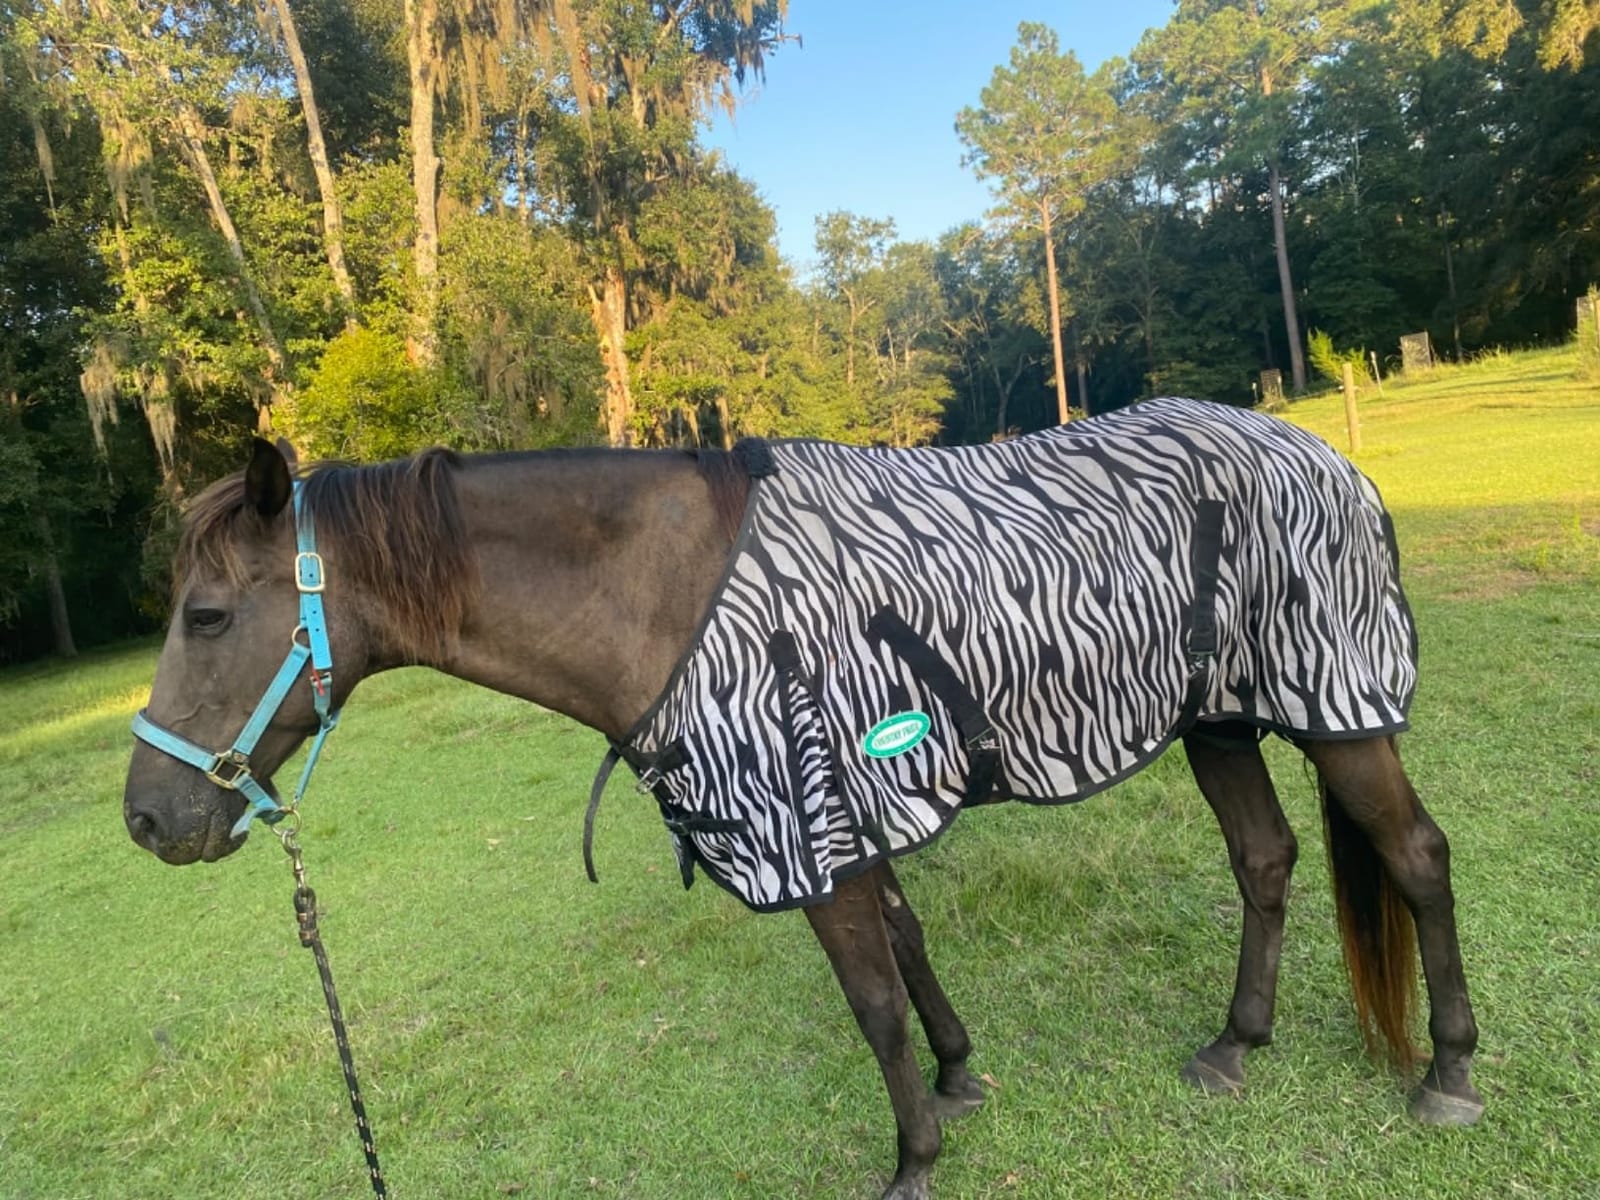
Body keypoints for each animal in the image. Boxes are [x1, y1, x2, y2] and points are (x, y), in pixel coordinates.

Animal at [123, 399, 1483, 1200]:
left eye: (209, 617)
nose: (148, 821)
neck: (673, 596)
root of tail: (1324, 454)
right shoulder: (847, 810)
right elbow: (906, 948)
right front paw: (957, 1077)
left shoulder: (805, 817)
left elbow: (869, 999)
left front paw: (914, 1161)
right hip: (1219, 721)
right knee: (1265, 860)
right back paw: (1234, 1046)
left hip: (1338, 708)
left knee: (1415, 857)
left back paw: (1448, 1074)